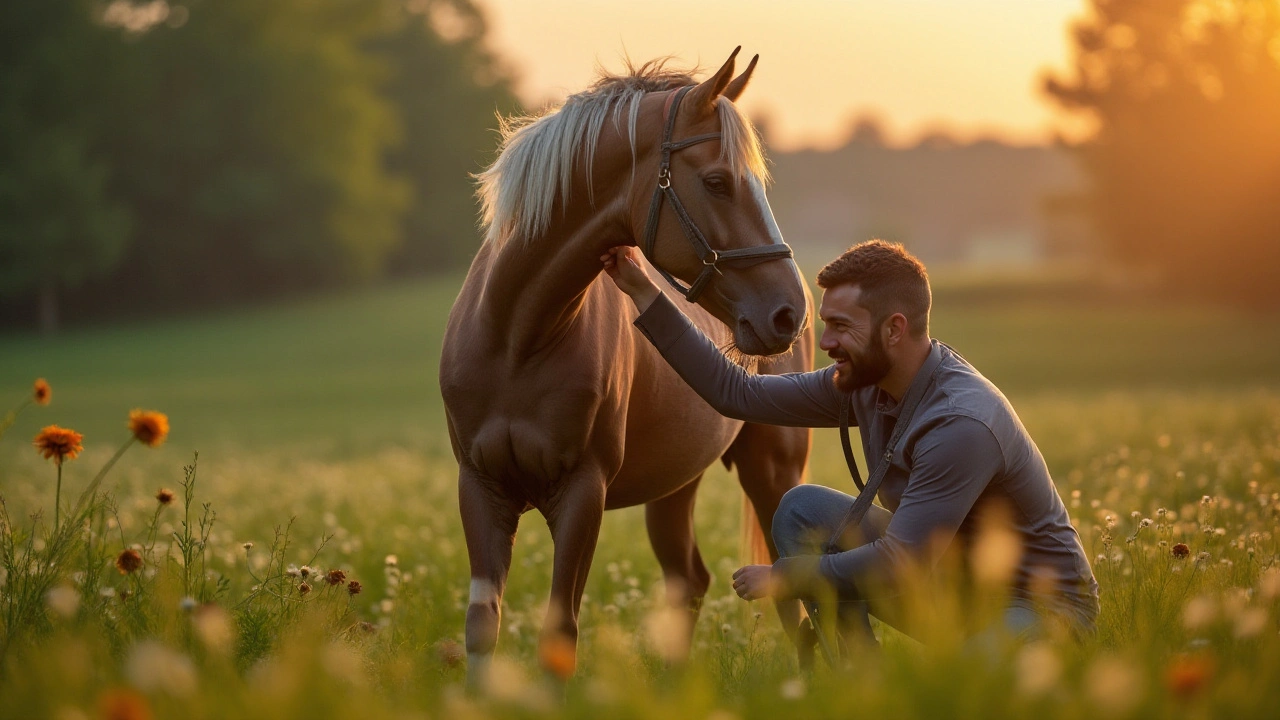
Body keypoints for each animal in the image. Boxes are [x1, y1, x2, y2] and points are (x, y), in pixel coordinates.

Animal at [440, 47, 814, 681]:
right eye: (717, 182)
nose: (788, 313)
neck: (517, 337)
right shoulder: (481, 489)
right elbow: (482, 626)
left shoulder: (581, 493)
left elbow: (559, 631)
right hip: (676, 485)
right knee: (688, 580)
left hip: (771, 471)